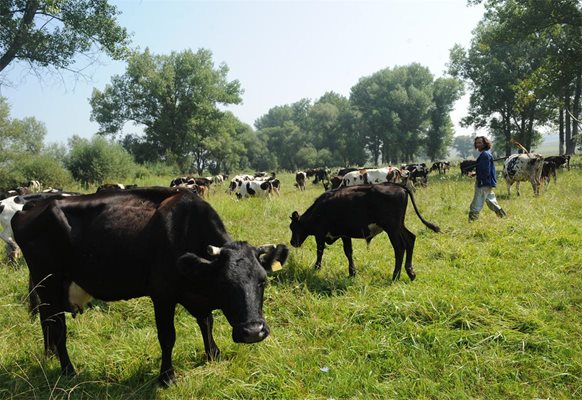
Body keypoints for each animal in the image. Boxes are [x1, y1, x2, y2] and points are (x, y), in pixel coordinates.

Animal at [12, 188, 290, 388]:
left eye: (263, 280)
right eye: (225, 283)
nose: (253, 332)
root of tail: (33, 206)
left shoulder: (196, 295)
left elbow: (206, 321)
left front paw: (214, 354)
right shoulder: (163, 295)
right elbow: (168, 337)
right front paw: (167, 377)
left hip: (47, 287)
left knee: (46, 321)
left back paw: (50, 356)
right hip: (49, 281)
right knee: (58, 327)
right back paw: (68, 370)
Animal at [290, 182, 440, 280]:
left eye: (292, 227)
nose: (292, 242)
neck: (319, 210)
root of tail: (399, 186)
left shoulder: (320, 234)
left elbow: (320, 251)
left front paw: (316, 267)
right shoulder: (344, 234)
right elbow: (348, 252)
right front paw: (352, 272)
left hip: (392, 228)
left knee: (399, 248)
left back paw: (395, 275)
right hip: (398, 226)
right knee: (410, 239)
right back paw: (410, 272)